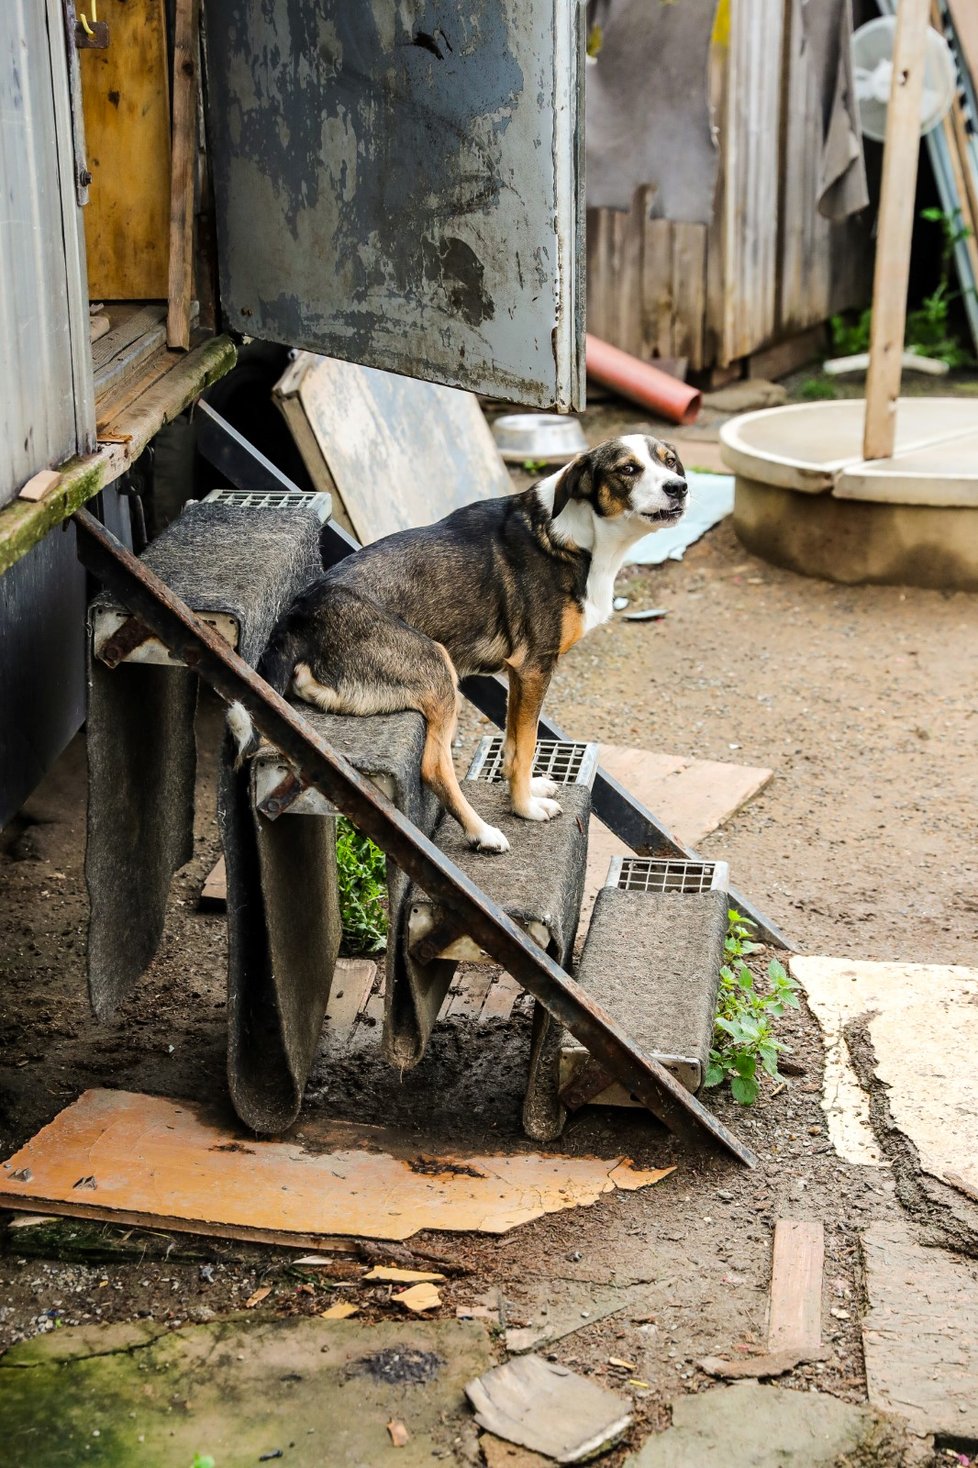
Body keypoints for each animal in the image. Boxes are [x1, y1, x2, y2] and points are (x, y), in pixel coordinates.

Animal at [229, 428, 684, 857]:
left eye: (669, 461)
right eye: (628, 468)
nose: (679, 487)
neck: (579, 535)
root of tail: (298, 614)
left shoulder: (519, 675)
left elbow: (514, 746)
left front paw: (528, 789)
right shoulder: (535, 666)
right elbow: (526, 746)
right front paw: (524, 808)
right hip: (437, 666)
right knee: (433, 767)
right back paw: (482, 832)